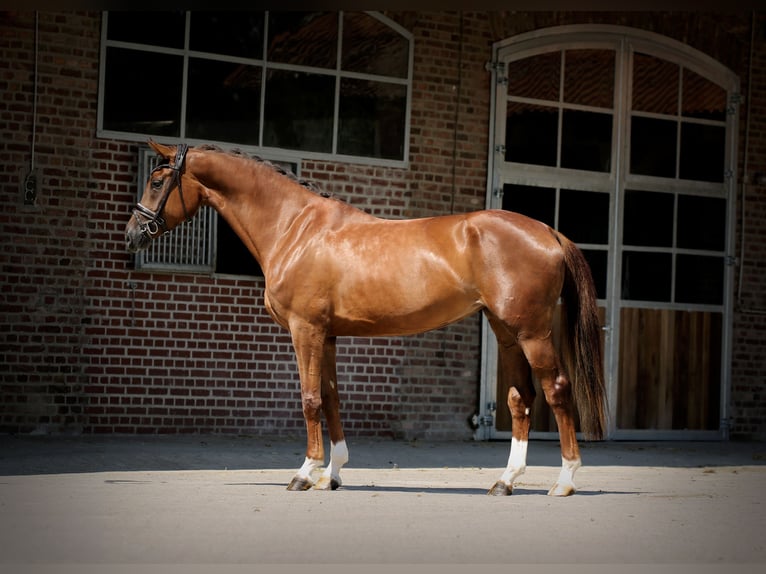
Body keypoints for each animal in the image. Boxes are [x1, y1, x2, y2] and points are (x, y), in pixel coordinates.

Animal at [127, 142, 608, 498]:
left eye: (157, 181)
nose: (132, 234)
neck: (295, 228)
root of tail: (549, 232)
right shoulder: (328, 335)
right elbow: (332, 398)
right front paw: (332, 474)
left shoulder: (305, 330)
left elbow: (310, 400)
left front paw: (304, 474)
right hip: (506, 332)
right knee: (520, 398)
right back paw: (505, 482)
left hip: (532, 333)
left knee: (556, 390)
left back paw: (565, 482)